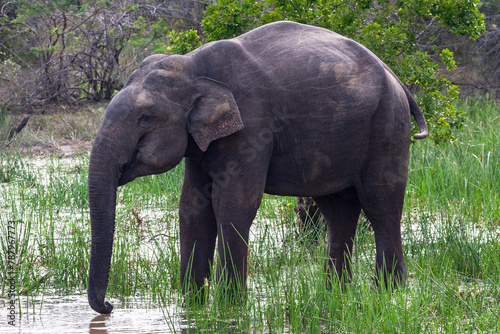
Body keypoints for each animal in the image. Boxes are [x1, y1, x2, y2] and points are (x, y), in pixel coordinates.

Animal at [88, 20, 428, 314]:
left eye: (145, 117)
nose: (109, 307)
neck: (191, 65)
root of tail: (397, 78)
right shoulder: (199, 141)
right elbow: (193, 207)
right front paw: (193, 308)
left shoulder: (253, 124)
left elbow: (234, 205)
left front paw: (229, 309)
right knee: (338, 210)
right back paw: (335, 295)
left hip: (387, 126)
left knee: (380, 204)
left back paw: (388, 293)